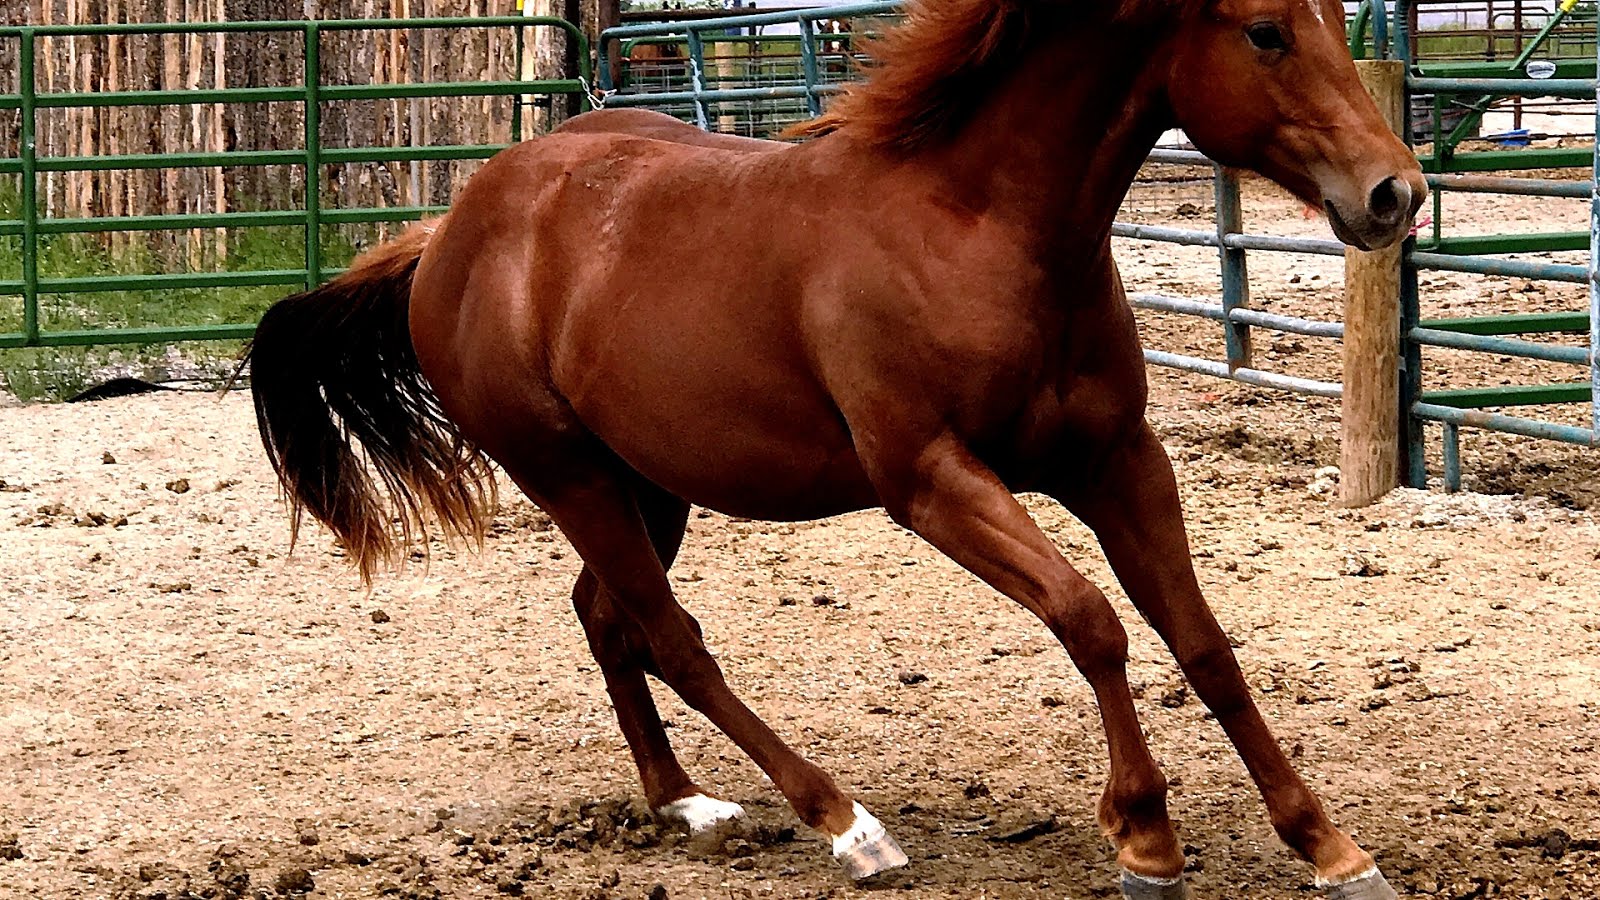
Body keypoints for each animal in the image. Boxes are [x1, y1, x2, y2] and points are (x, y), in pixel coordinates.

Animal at [246, 0, 1425, 895]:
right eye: (1265, 32)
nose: (1394, 193)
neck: (978, 230)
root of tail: (450, 230)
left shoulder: (1119, 462)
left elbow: (1204, 644)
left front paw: (1328, 846)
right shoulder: (932, 482)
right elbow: (1091, 623)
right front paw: (1145, 836)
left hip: (647, 483)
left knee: (607, 620)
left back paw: (686, 802)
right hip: (567, 473)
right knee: (673, 638)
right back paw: (843, 824)